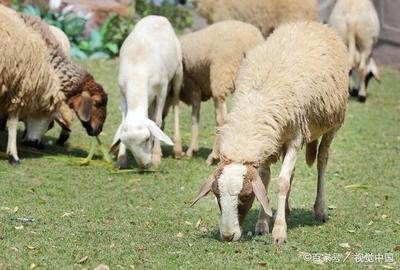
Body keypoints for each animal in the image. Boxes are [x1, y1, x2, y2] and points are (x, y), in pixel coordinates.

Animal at [110, 15, 184, 169]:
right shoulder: (122, 94)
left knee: (175, 105)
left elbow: (157, 120)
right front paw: (121, 159)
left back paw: (177, 149)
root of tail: (157, 16)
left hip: (178, 73)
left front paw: (156, 157)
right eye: (127, 143)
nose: (144, 165)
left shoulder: (162, 89)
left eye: (147, 138)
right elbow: (125, 121)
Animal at [162, 20, 266, 165]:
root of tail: (250, 43)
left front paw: (192, 150)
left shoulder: (193, 86)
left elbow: (195, 116)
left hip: (221, 77)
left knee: (221, 119)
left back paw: (214, 155)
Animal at [192, 22, 348, 244]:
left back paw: (320, 210)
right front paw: (262, 224)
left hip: (332, 123)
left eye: (245, 196)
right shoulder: (267, 141)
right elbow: (266, 179)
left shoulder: (295, 138)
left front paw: (279, 231)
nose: (228, 236)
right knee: (292, 172)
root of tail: (313, 23)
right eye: (216, 195)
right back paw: (287, 210)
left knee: (322, 160)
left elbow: (282, 182)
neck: (257, 103)